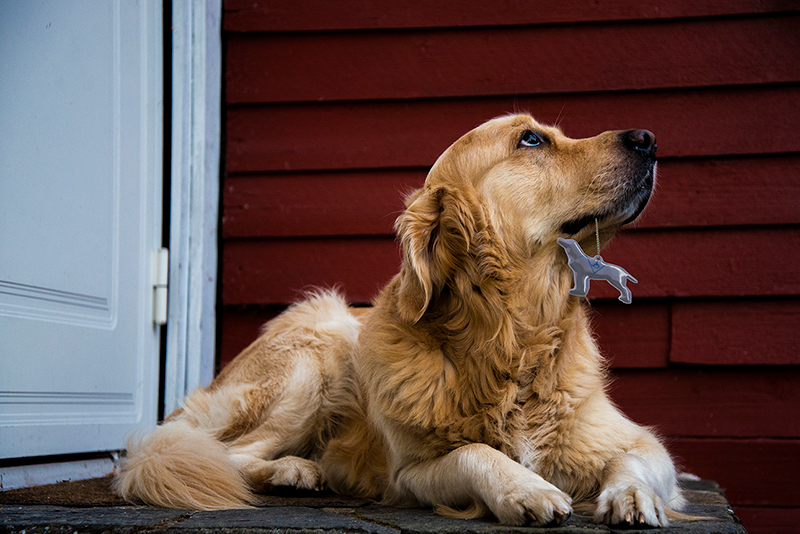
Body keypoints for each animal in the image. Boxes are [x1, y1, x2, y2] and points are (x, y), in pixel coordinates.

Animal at [115, 115, 684, 528]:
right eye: (530, 139)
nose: (649, 138)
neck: (510, 339)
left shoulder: (636, 440)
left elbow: (633, 460)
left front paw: (632, 496)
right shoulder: (412, 474)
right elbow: (474, 451)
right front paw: (526, 488)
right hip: (318, 352)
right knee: (224, 452)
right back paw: (292, 469)